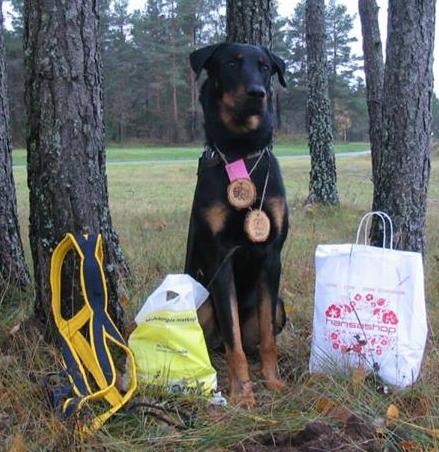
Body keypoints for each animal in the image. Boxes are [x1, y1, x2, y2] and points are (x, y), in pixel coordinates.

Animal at [185, 44, 288, 408]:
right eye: (231, 63)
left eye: (266, 67)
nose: (258, 94)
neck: (241, 151)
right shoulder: (221, 257)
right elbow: (235, 344)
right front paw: (242, 393)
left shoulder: (272, 255)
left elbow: (268, 341)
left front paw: (273, 382)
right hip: (201, 304)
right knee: (216, 342)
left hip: (279, 306)